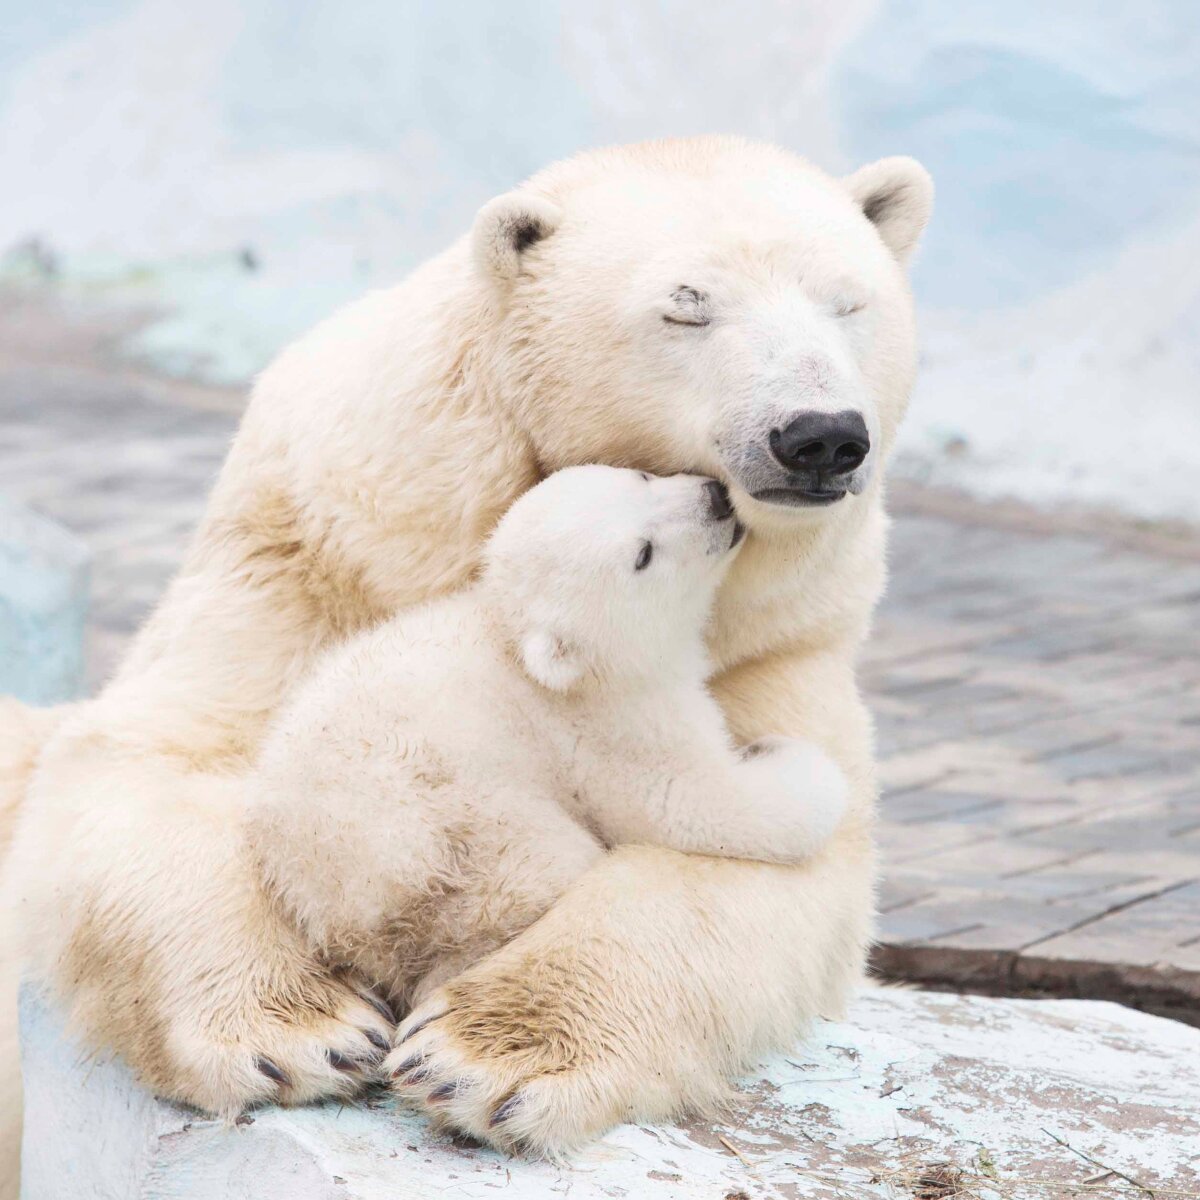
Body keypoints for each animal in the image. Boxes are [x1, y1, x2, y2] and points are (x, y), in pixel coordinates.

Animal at [0, 136, 931, 1166]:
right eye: (686, 306)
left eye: (849, 302)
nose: (820, 436)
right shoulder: (316, 552)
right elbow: (163, 758)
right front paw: (302, 1030)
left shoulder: (776, 638)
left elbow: (764, 862)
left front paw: (487, 1056)